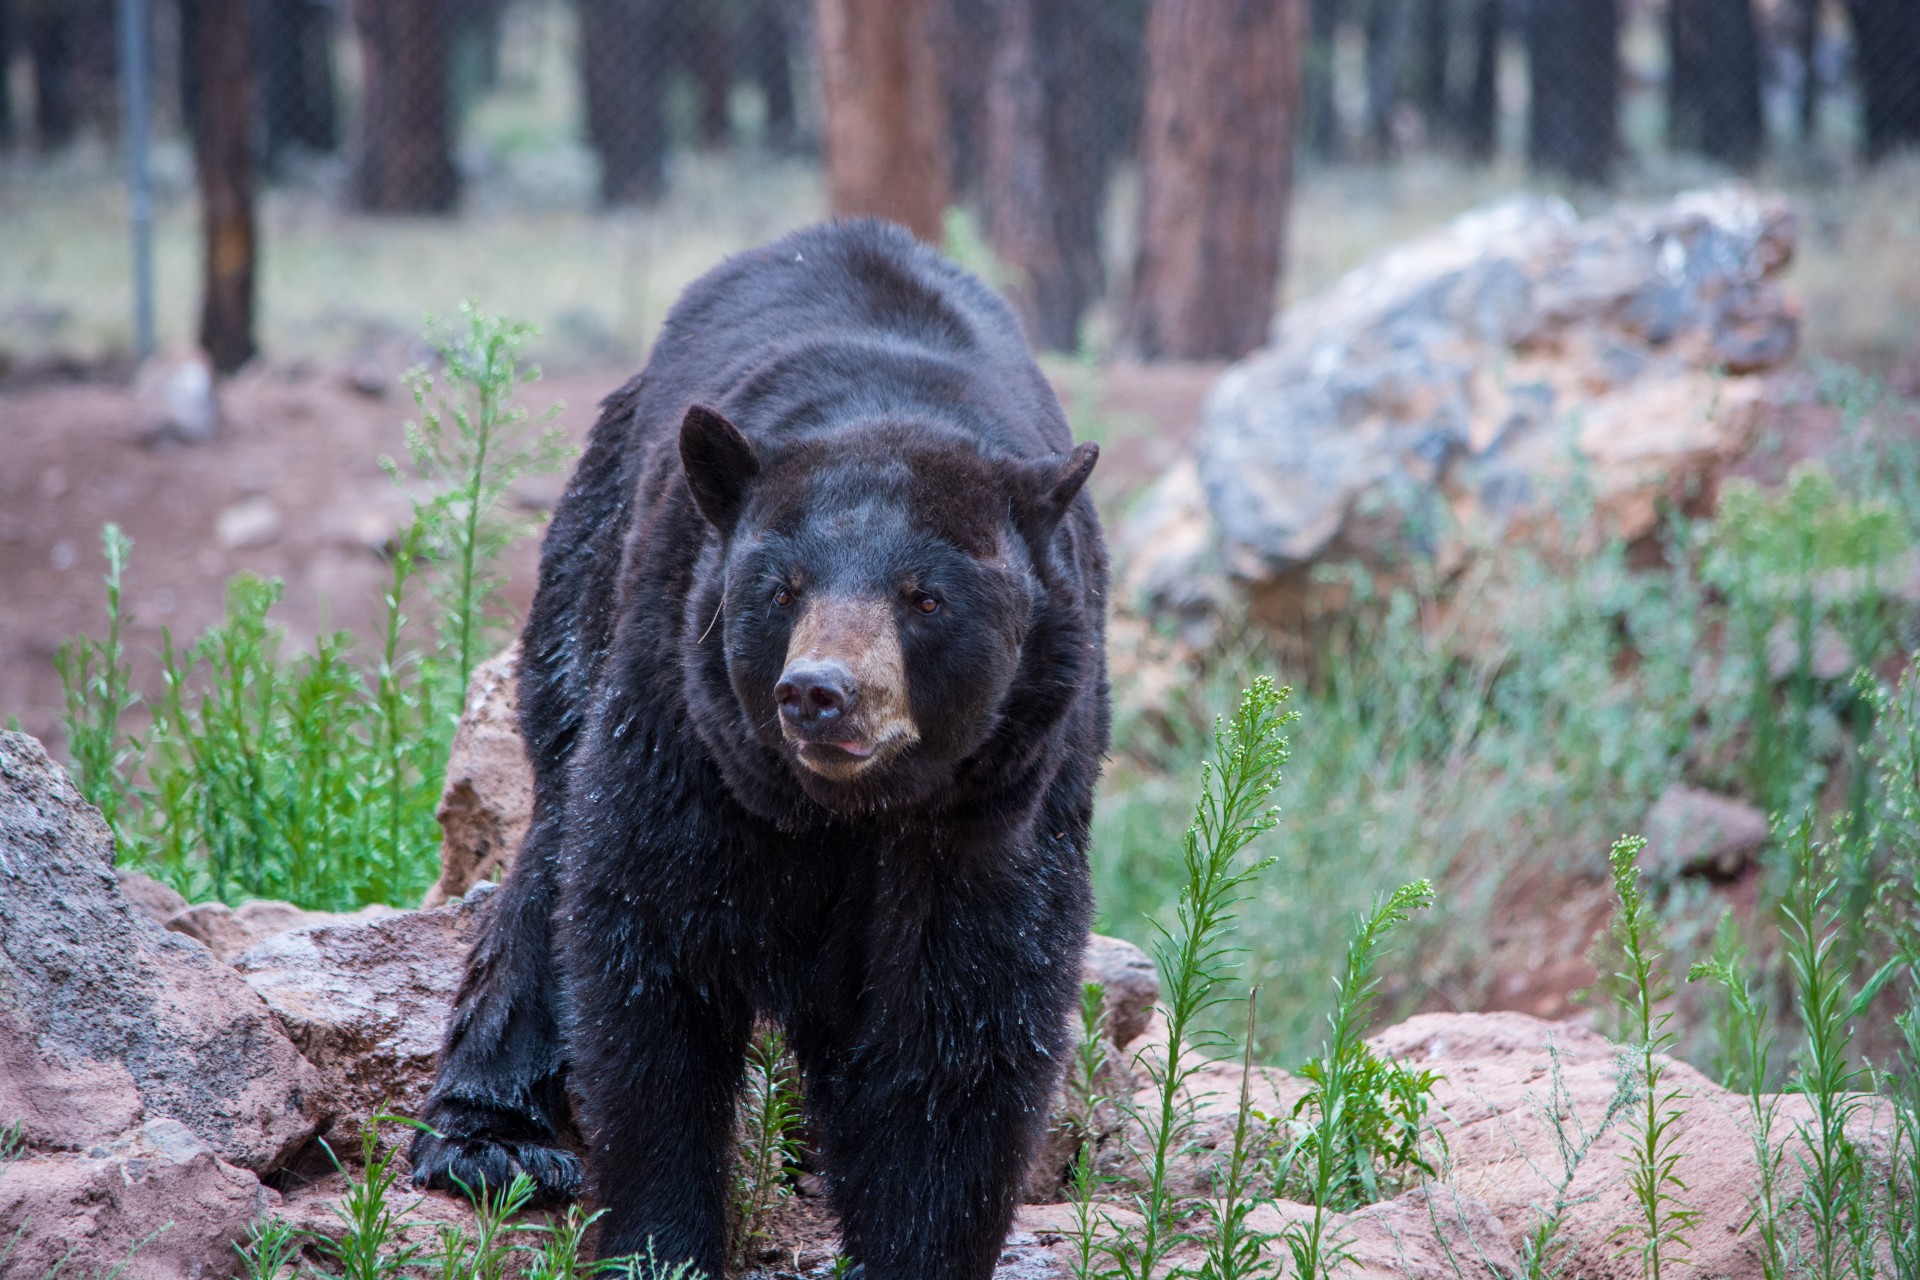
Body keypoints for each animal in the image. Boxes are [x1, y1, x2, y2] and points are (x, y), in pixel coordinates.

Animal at [412, 222, 1121, 1280]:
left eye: (925, 596)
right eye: (780, 588)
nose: (819, 693)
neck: (846, 811)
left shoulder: (997, 804)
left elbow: (962, 1021)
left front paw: (913, 1242)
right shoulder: (683, 724)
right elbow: (650, 960)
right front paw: (660, 1242)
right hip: (593, 571)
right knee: (552, 854)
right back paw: (491, 1142)